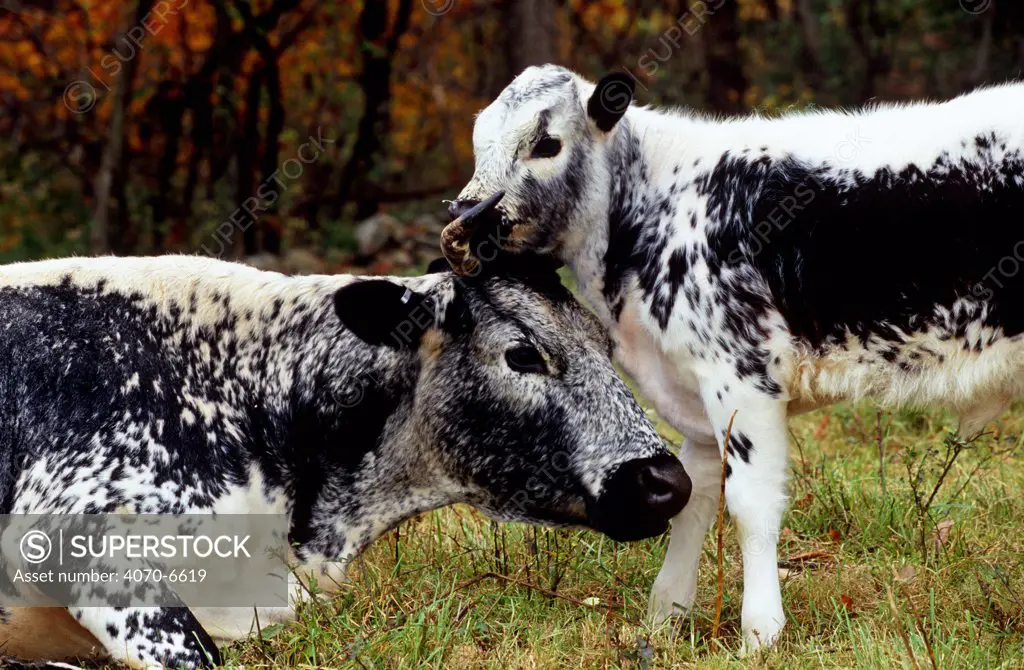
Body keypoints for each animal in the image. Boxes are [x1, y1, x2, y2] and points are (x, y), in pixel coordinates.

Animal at [442, 63, 1024, 651]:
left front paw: (761, 632)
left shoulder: (742, 378)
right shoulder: (695, 400)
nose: (465, 219)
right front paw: (665, 617)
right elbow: (691, 498)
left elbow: (750, 503)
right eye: (478, 143)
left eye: (546, 144)